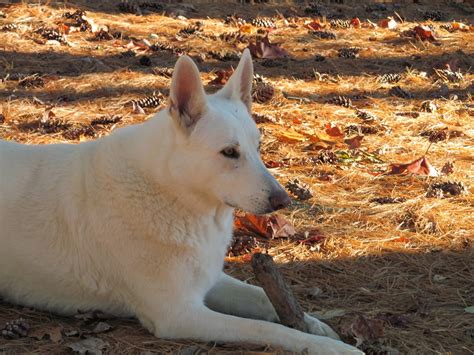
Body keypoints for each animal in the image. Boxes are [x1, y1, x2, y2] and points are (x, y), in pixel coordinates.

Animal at [0, 48, 362, 354]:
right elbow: (267, 329)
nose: (283, 200)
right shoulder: (180, 314)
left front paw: (314, 325)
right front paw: (329, 347)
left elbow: (262, 297)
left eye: (258, 147)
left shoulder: (209, 279)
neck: (171, 190)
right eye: (229, 152)